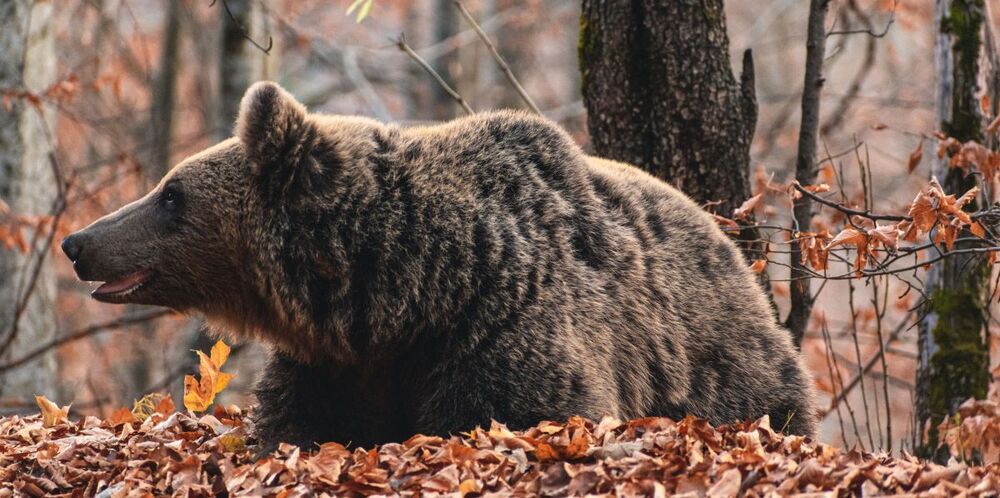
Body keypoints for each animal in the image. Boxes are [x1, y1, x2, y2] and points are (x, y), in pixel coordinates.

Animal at [62, 81, 817, 453]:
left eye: (171, 195)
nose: (78, 242)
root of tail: (734, 250)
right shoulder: (339, 364)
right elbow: (299, 425)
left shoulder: (500, 326)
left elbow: (518, 409)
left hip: (722, 372)